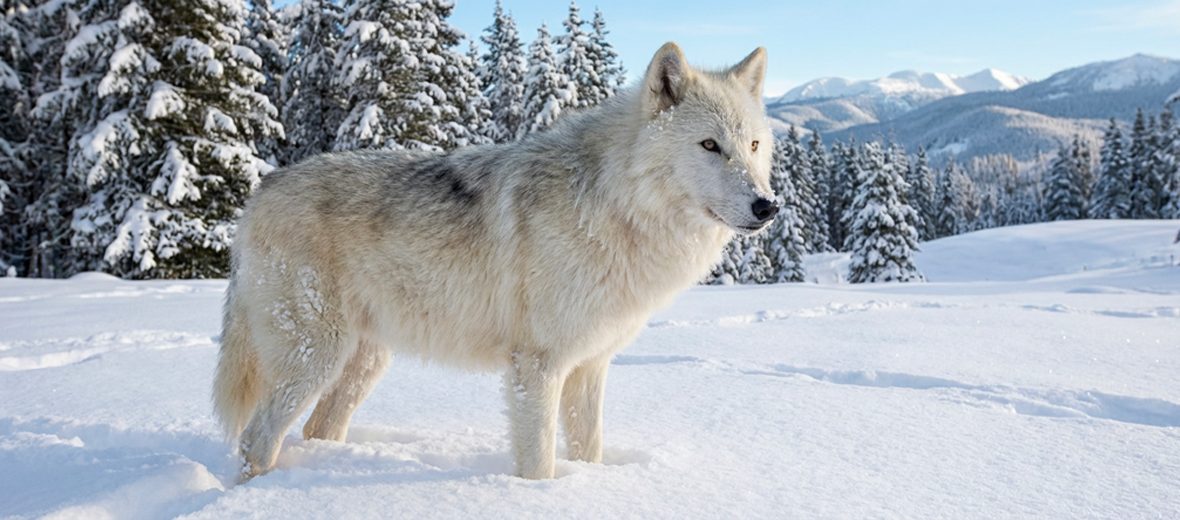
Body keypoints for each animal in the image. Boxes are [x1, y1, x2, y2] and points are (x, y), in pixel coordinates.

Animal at [212, 42, 777, 480]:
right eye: (709, 145)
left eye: (752, 145)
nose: (767, 207)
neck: (613, 207)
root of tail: (262, 189)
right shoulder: (537, 365)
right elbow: (539, 462)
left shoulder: (590, 365)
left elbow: (589, 450)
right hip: (315, 358)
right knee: (255, 440)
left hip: (365, 361)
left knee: (317, 429)